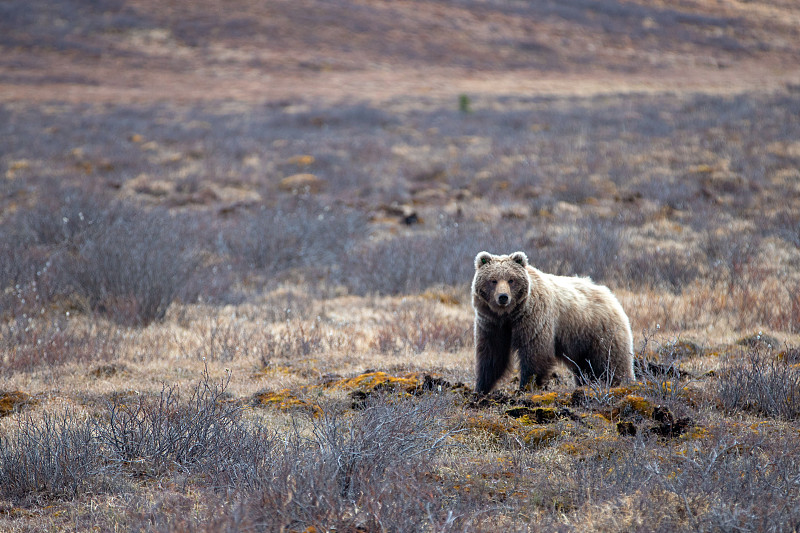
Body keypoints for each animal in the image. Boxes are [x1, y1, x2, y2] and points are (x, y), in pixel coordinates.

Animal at [472, 248, 636, 390]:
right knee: (585, 368)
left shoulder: (534, 318)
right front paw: (481, 388)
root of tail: (611, 295)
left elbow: (535, 353)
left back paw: (623, 383)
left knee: (612, 363)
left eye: (511, 280)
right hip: (581, 342)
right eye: (493, 280)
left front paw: (526, 386)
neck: (509, 314)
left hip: (601, 333)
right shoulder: (491, 324)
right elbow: (492, 354)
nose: (503, 297)